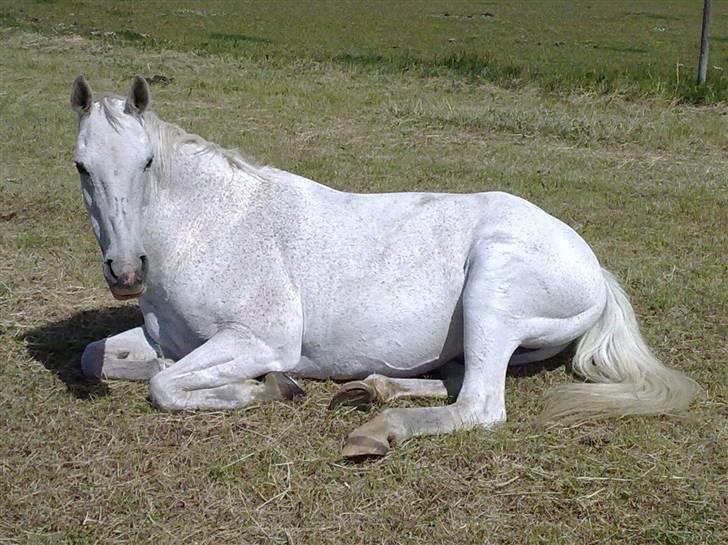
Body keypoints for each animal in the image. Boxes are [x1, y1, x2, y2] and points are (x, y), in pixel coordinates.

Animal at [69, 76, 700, 456]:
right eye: (80, 165)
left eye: (147, 162)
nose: (126, 273)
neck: (212, 226)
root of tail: (596, 271)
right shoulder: (170, 340)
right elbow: (99, 358)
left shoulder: (262, 340)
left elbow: (164, 385)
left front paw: (263, 389)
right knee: (453, 378)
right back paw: (371, 391)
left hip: (491, 291)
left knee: (479, 406)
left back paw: (377, 430)